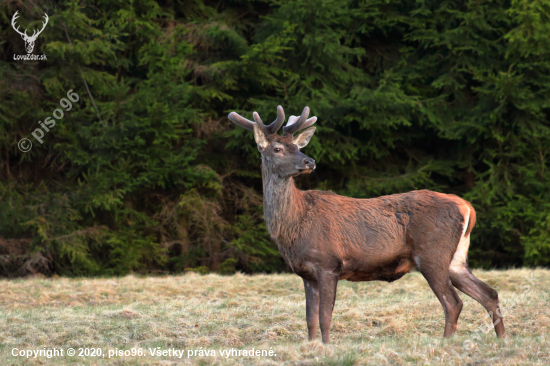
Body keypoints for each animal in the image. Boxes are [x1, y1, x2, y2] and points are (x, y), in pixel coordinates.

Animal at [229, 105, 508, 344]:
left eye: (296, 146)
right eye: (277, 148)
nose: (310, 161)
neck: (292, 227)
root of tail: (467, 207)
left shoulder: (328, 263)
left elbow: (325, 317)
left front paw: (327, 347)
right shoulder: (306, 273)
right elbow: (309, 320)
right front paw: (311, 347)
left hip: (432, 253)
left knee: (453, 302)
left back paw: (445, 342)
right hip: (456, 258)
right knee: (489, 293)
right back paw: (502, 340)